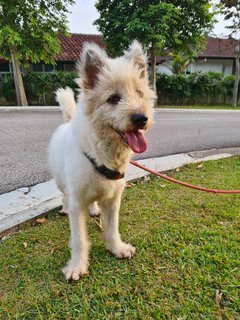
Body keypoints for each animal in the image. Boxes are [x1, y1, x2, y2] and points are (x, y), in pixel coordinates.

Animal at [48, 40, 156, 280]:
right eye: (113, 98)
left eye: (139, 93)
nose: (141, 118)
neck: (102, 154)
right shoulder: (78, 202)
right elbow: (79, 239)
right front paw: (77, 266)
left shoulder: (114, 198)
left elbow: (112, 227)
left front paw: (117, 248)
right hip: (61, 182)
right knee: (64, 195)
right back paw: (64, 207)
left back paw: (94, 209)